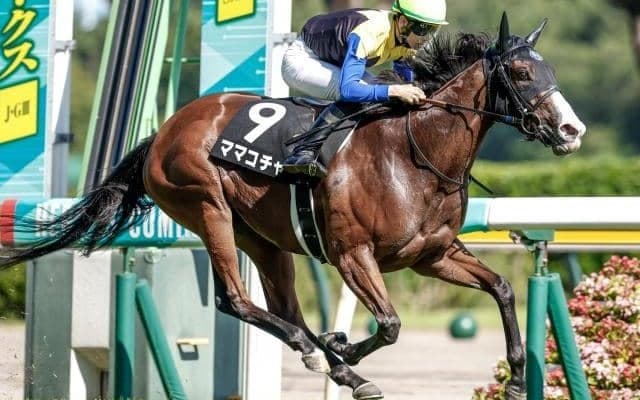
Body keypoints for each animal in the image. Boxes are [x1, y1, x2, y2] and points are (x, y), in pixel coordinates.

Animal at [0, 13, 585, 400]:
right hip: (206, 207)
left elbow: (503, 288)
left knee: (280, 307)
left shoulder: (432, 254)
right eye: (523, 73)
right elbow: (391, 324)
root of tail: (164, 131)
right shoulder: (352, 254)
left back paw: (319, 350)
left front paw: (517, 379)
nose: (572, 130)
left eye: (551, 69)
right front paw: (344, 350)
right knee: (236, 301)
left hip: (262, 237)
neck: (414, 152)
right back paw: (329, 357)